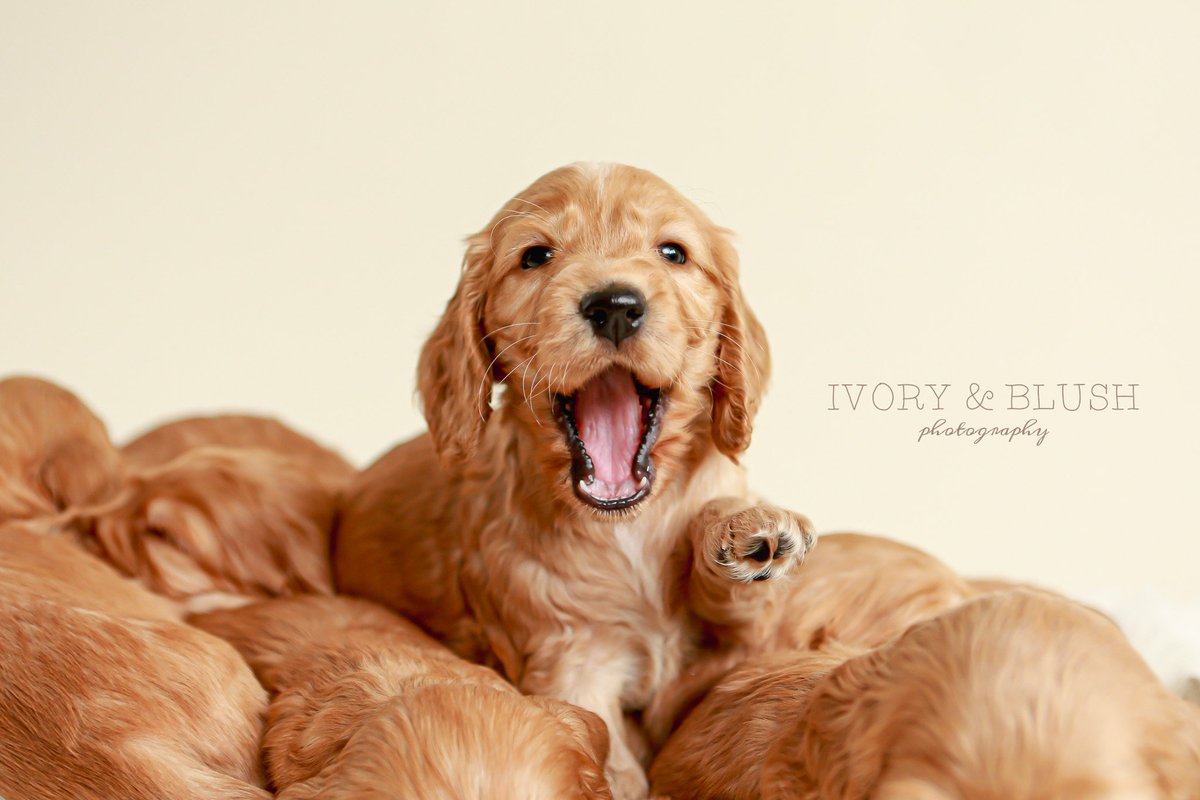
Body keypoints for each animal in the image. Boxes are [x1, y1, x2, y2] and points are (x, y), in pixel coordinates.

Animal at [328, 163, 816, 796]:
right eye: (535, 255)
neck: (630, 528)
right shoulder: (568, 657)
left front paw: (750, 532)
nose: (615, 305)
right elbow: (611, 755)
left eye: (672, 252)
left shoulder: (738, 650)